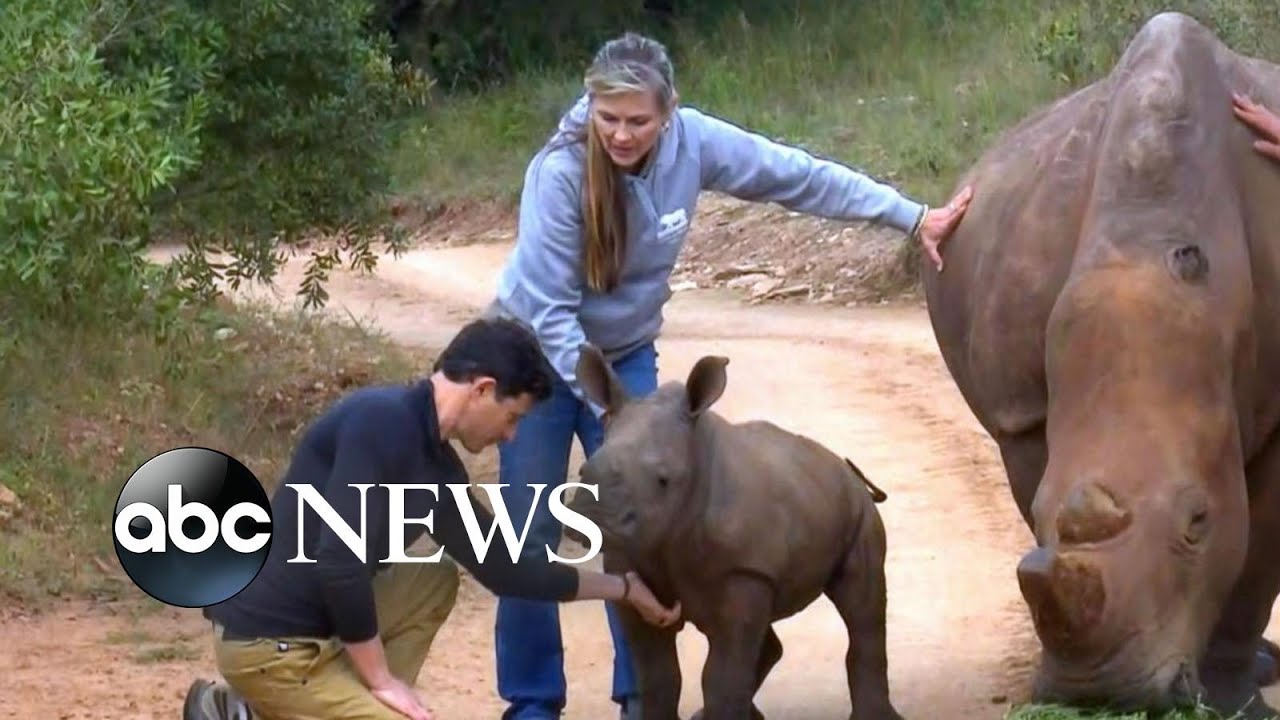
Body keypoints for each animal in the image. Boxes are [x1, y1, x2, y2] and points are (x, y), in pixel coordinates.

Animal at [565, 343, 903, 720]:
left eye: (664, 480)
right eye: (584, 469)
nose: (592, 517)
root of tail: (848, 471)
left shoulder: (745, 570)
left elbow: (720, 674)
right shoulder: (633, 563)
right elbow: (658, 674)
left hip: (858, 511)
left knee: (862, 609)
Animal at [922, 11, 1280, 718]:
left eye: (1199, 522)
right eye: (1038, 520)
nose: (1103, 691)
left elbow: (1255, 556)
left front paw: (1233, 700)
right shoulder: (1023, 410)